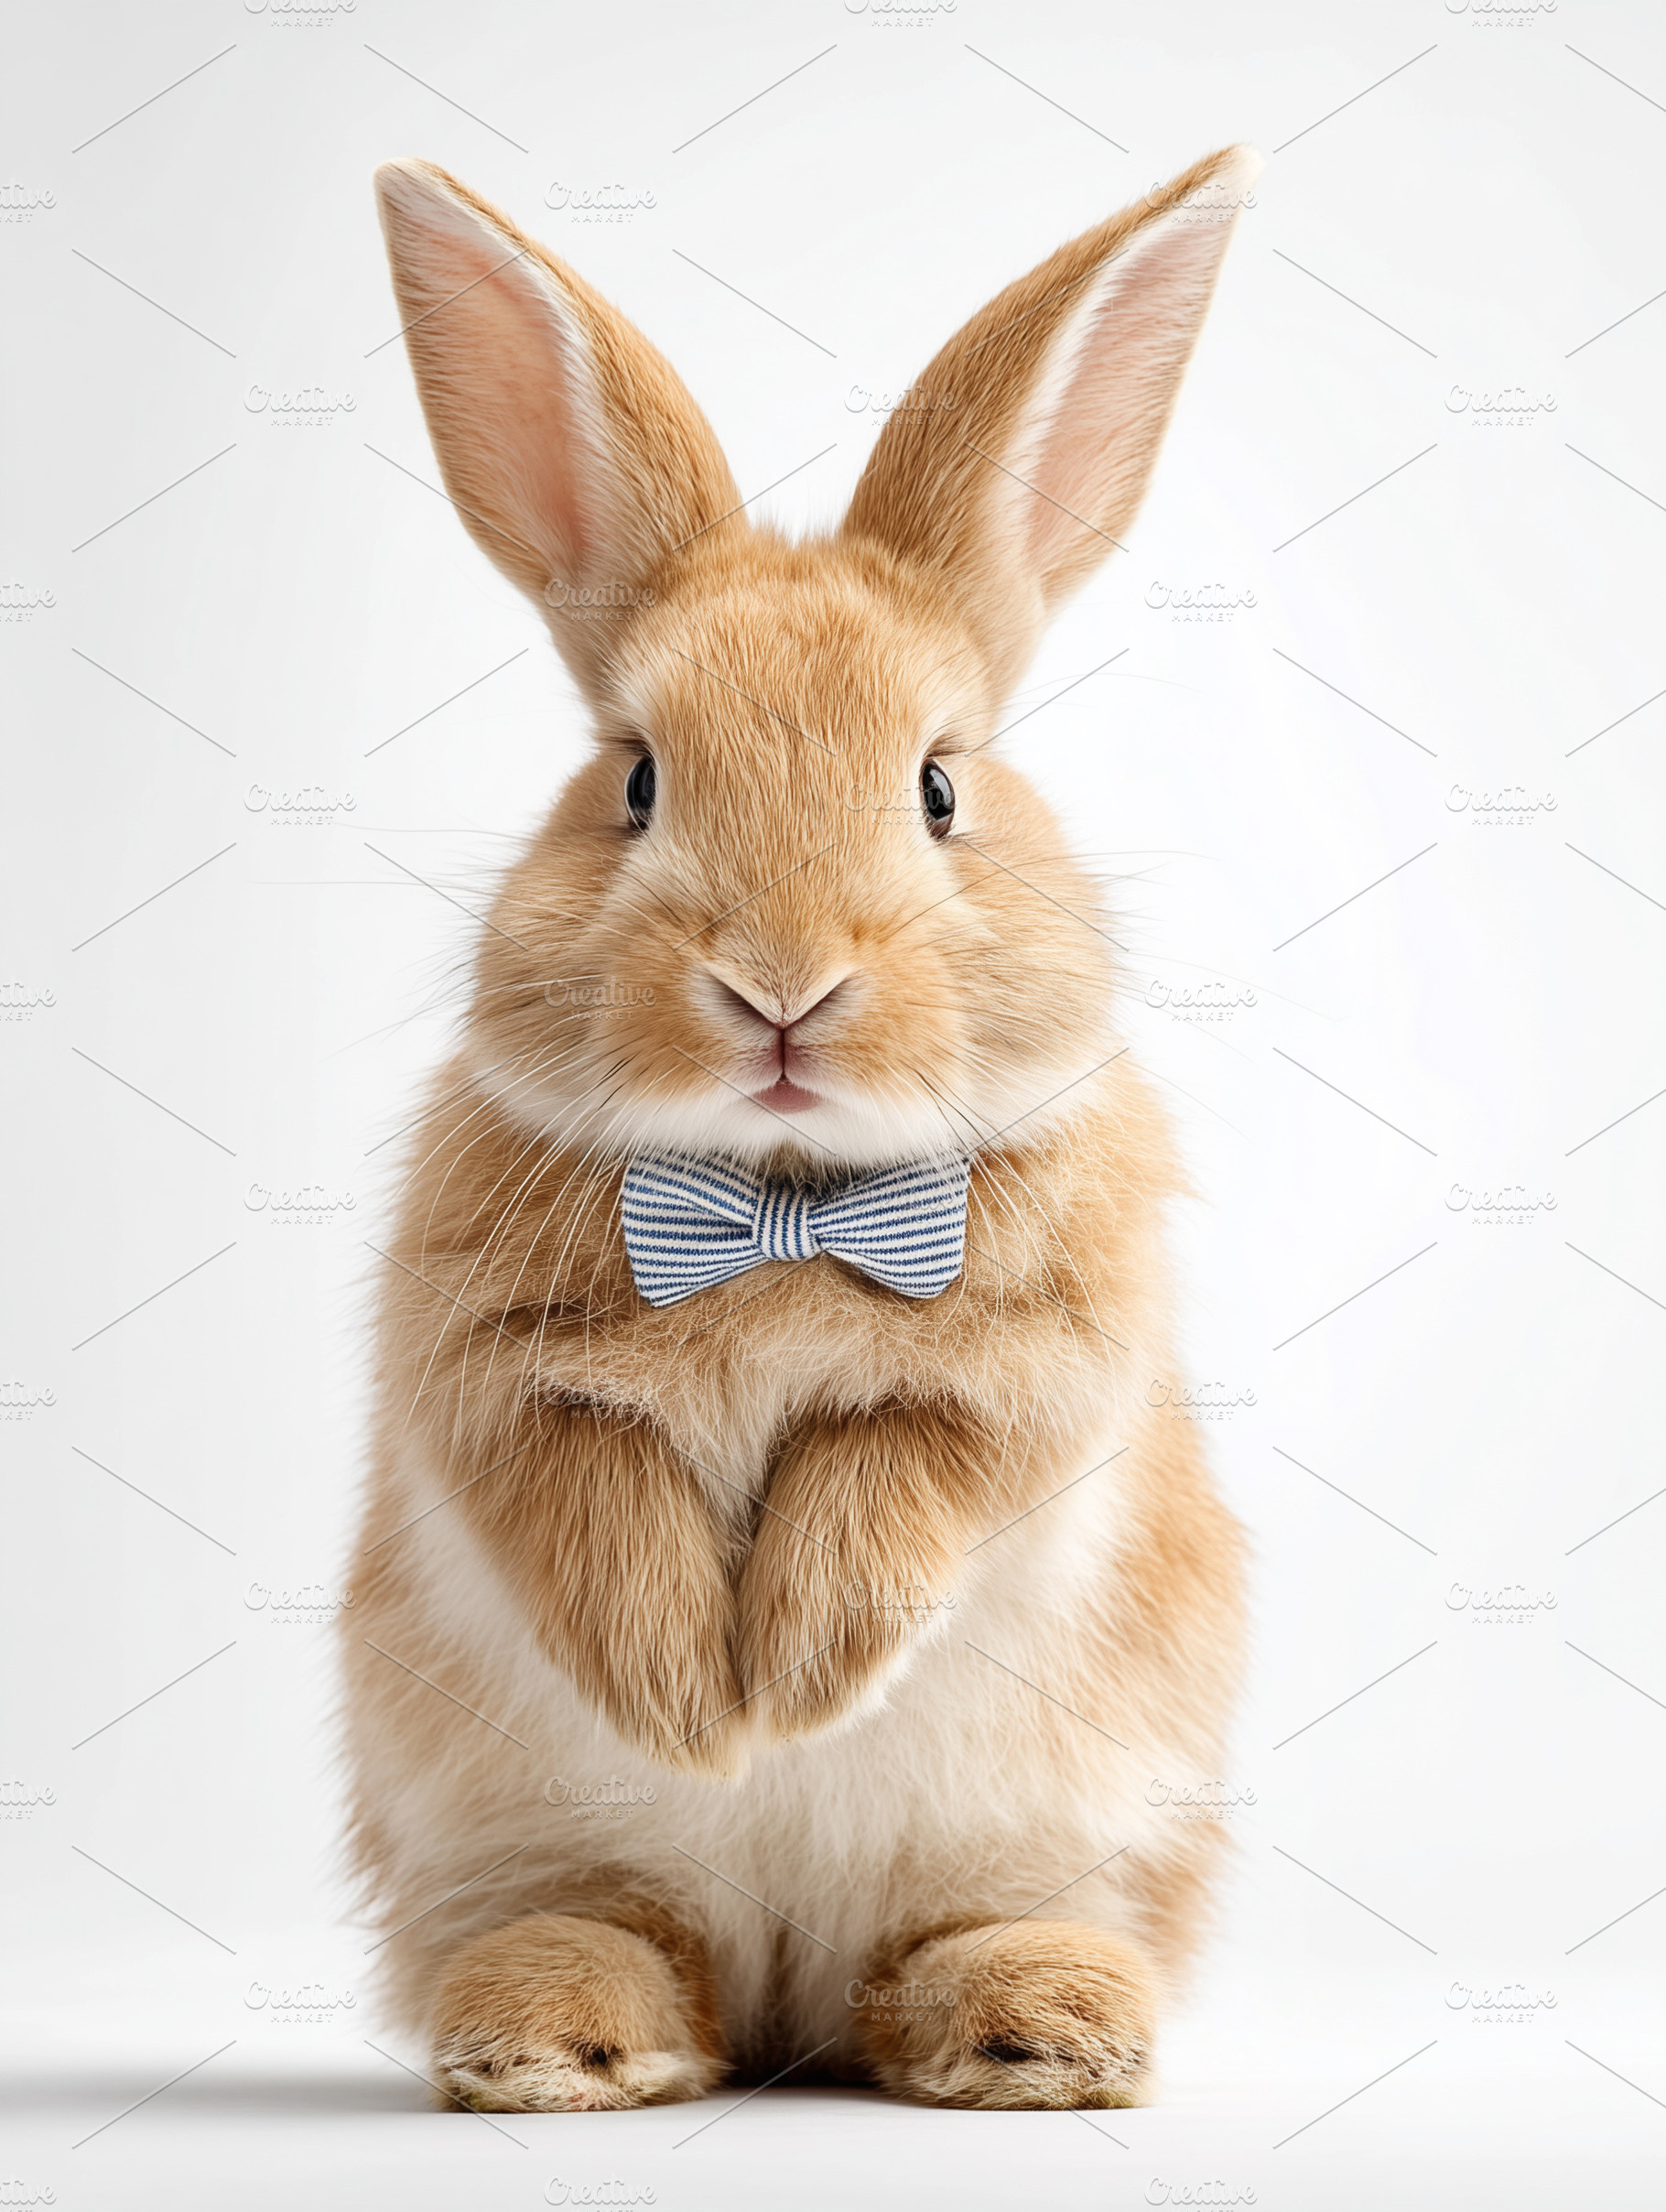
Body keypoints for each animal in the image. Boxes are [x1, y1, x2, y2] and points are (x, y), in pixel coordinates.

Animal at [343, 144, 1257, 2115]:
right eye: (634, 778)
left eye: (938, 785)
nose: (781, 984)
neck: (773, 1200)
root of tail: (789, 1998)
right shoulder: (491, 1374)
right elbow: (585, 1504)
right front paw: (697, 1705)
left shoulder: (1035, 1372)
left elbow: (909, 1472)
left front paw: (803, 1675)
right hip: (512, 1839)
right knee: (620, 1931)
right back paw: (555, 2034)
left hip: (1054, 1826)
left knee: (945, 1951)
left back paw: (1037, 2026)